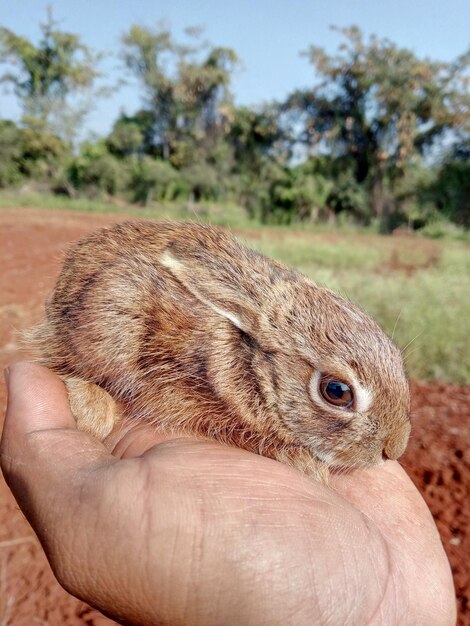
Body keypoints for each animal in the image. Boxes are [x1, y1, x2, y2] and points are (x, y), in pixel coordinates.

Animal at [30, 219, 412, 478]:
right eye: (336, 391)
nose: (393, 449)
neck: (253, 366)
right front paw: (304, 463)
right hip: (109, 316)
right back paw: (94, 407)